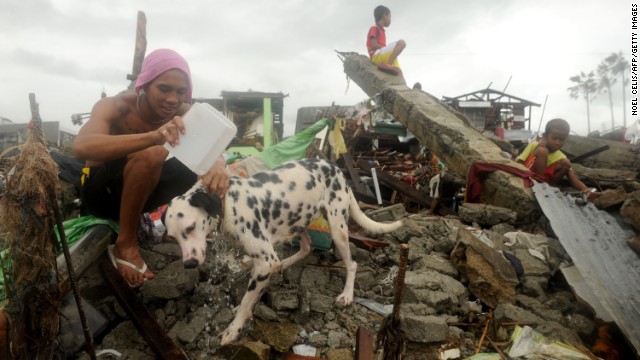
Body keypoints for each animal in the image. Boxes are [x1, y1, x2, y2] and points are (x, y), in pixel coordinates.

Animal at [162, 159, 402, 344]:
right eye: (172, 237)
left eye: (190, 227)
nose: (189, 264)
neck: (228, 202)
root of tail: (335, 167)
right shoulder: (262, 262)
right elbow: (251, 294)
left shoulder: (265, 261)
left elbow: (246, 301)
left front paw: (233, 329)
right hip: (297, 221)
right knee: (306, 247)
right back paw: (284, 265)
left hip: (337, 229)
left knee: (351, 264)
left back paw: (347, 294)